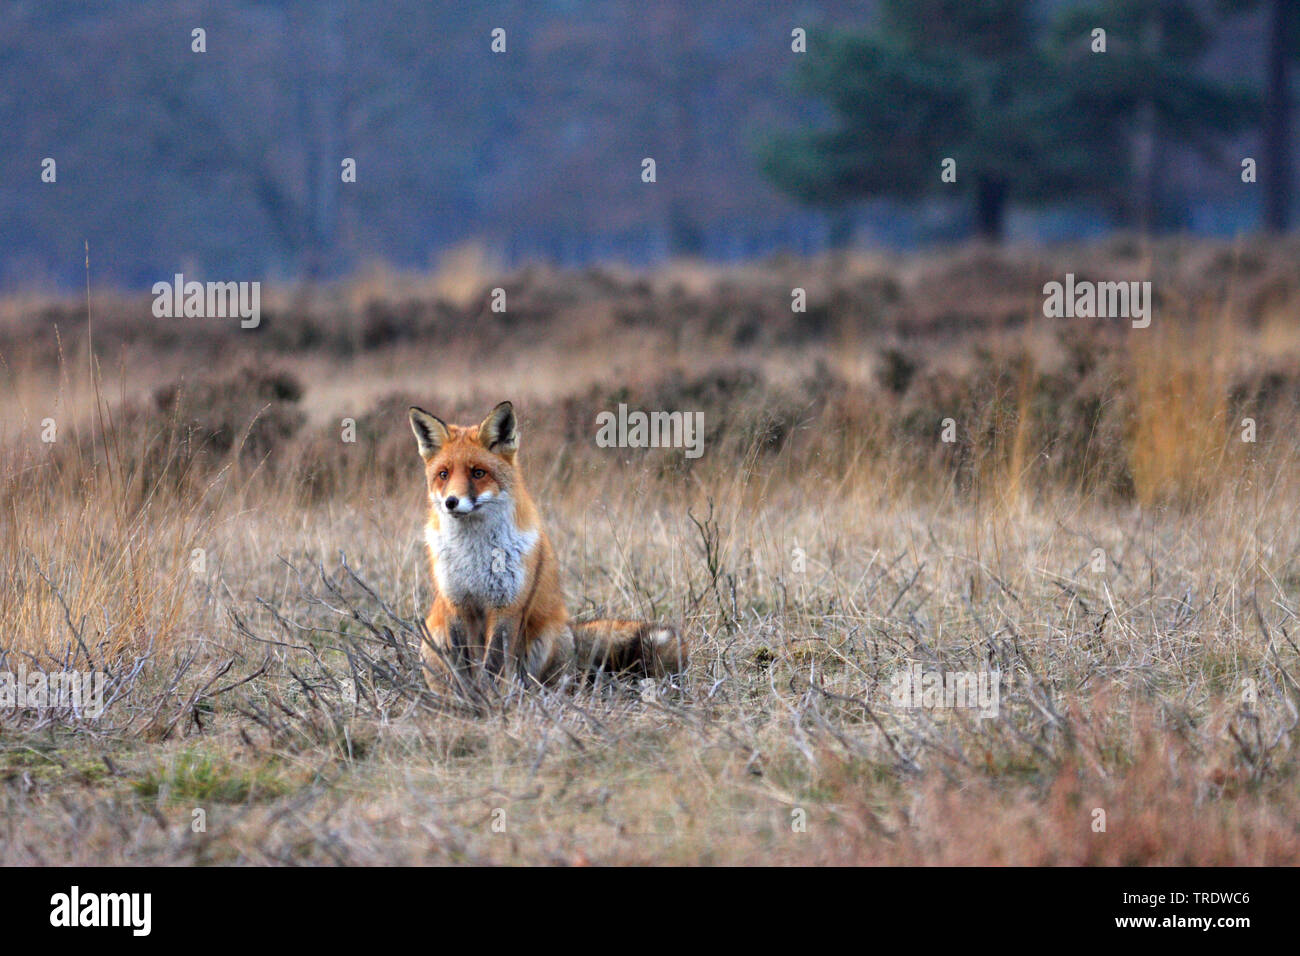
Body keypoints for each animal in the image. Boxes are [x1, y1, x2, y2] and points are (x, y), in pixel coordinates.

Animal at [410, 400, 686, 691]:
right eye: (443, 474)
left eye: (478, 473)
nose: (451, 502)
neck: (475, 555)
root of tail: (571, 631)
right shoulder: (456, 603)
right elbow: (463, 666)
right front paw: (466, 696)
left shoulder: (507, 605)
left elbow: (493, 664)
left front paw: (489, 697)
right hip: (433, 635)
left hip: (547, 638)